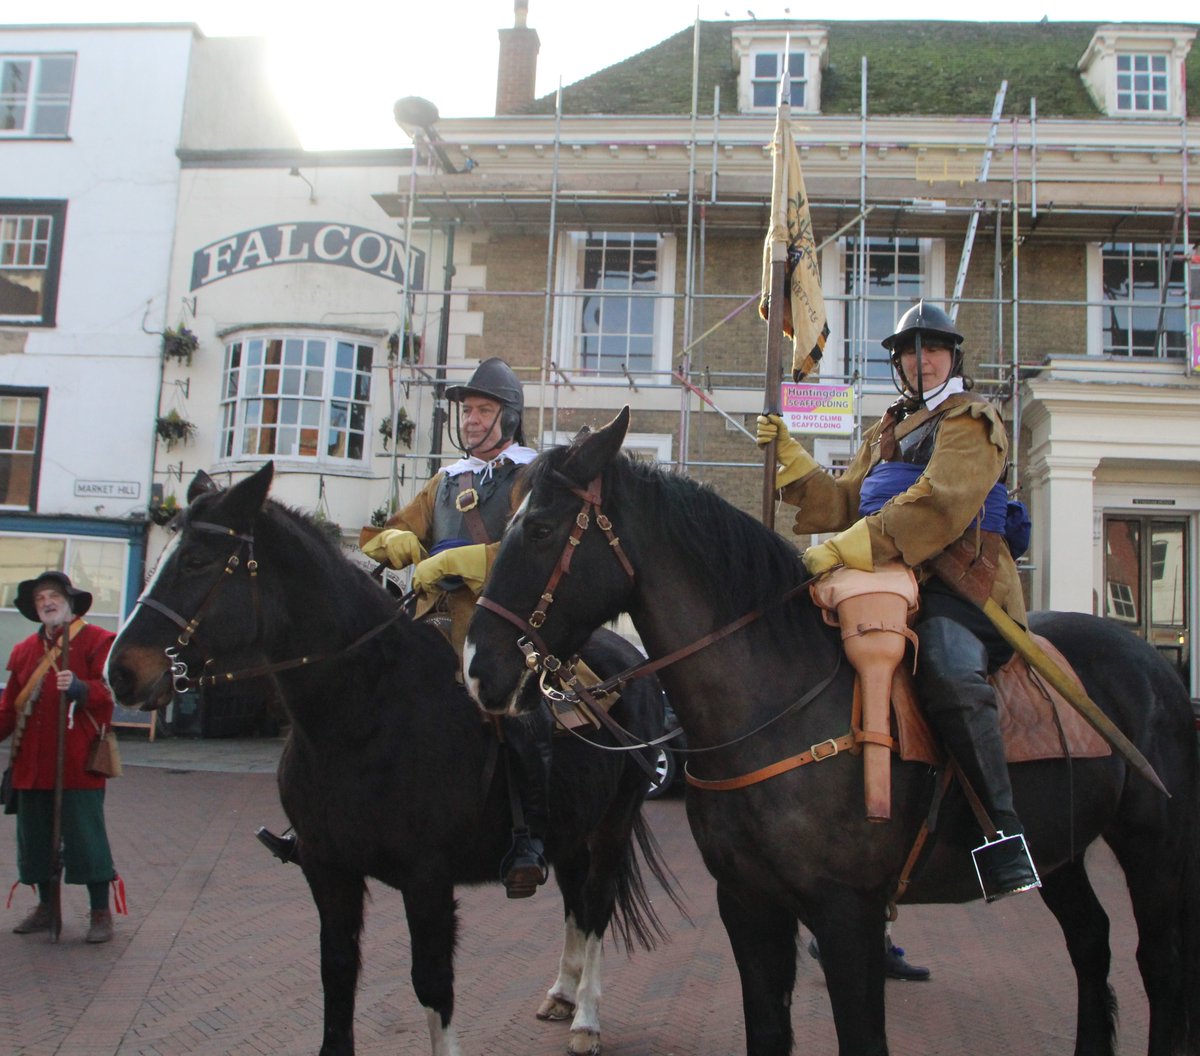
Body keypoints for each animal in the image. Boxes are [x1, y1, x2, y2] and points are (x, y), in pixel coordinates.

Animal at [104, 465, 676, 1056]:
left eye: (197, 560)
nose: (120, 670)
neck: (363, 711)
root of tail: (630, 662)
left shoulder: (427, 879)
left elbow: (432, 986)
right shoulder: (327, 870)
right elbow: (336, 976)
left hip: (611, 826)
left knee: (597, 903)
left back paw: (586, 1017)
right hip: (568, 829)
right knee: (575, 904)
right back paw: (562, 993)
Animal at [465, 410, 1200, 1056]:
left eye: (540, 528)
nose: (478, 668)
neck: (776, 704)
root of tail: (1151, 664)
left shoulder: (848, 915)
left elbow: (862, 1037)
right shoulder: (748, 904)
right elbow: (767, 1031)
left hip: (1156, 849)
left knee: (1160, 965)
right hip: (1063, 850)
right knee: (1091, 942)